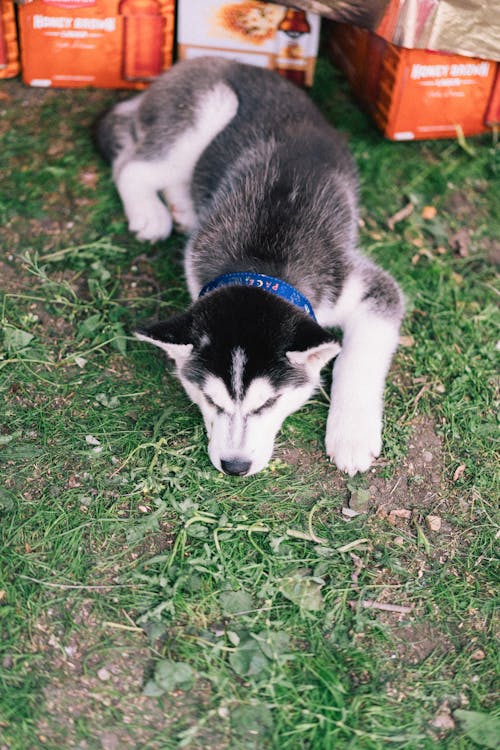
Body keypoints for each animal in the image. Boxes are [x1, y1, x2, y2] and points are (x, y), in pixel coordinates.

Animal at [95, 61, 404, 478]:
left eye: (268, 403)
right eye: (210, 400)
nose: (234, 466)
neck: (260, 265)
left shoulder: (368, 288)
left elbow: (356, 360)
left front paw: (351, 436)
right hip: (207, 107)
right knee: (131, 167)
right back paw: (151, 212)